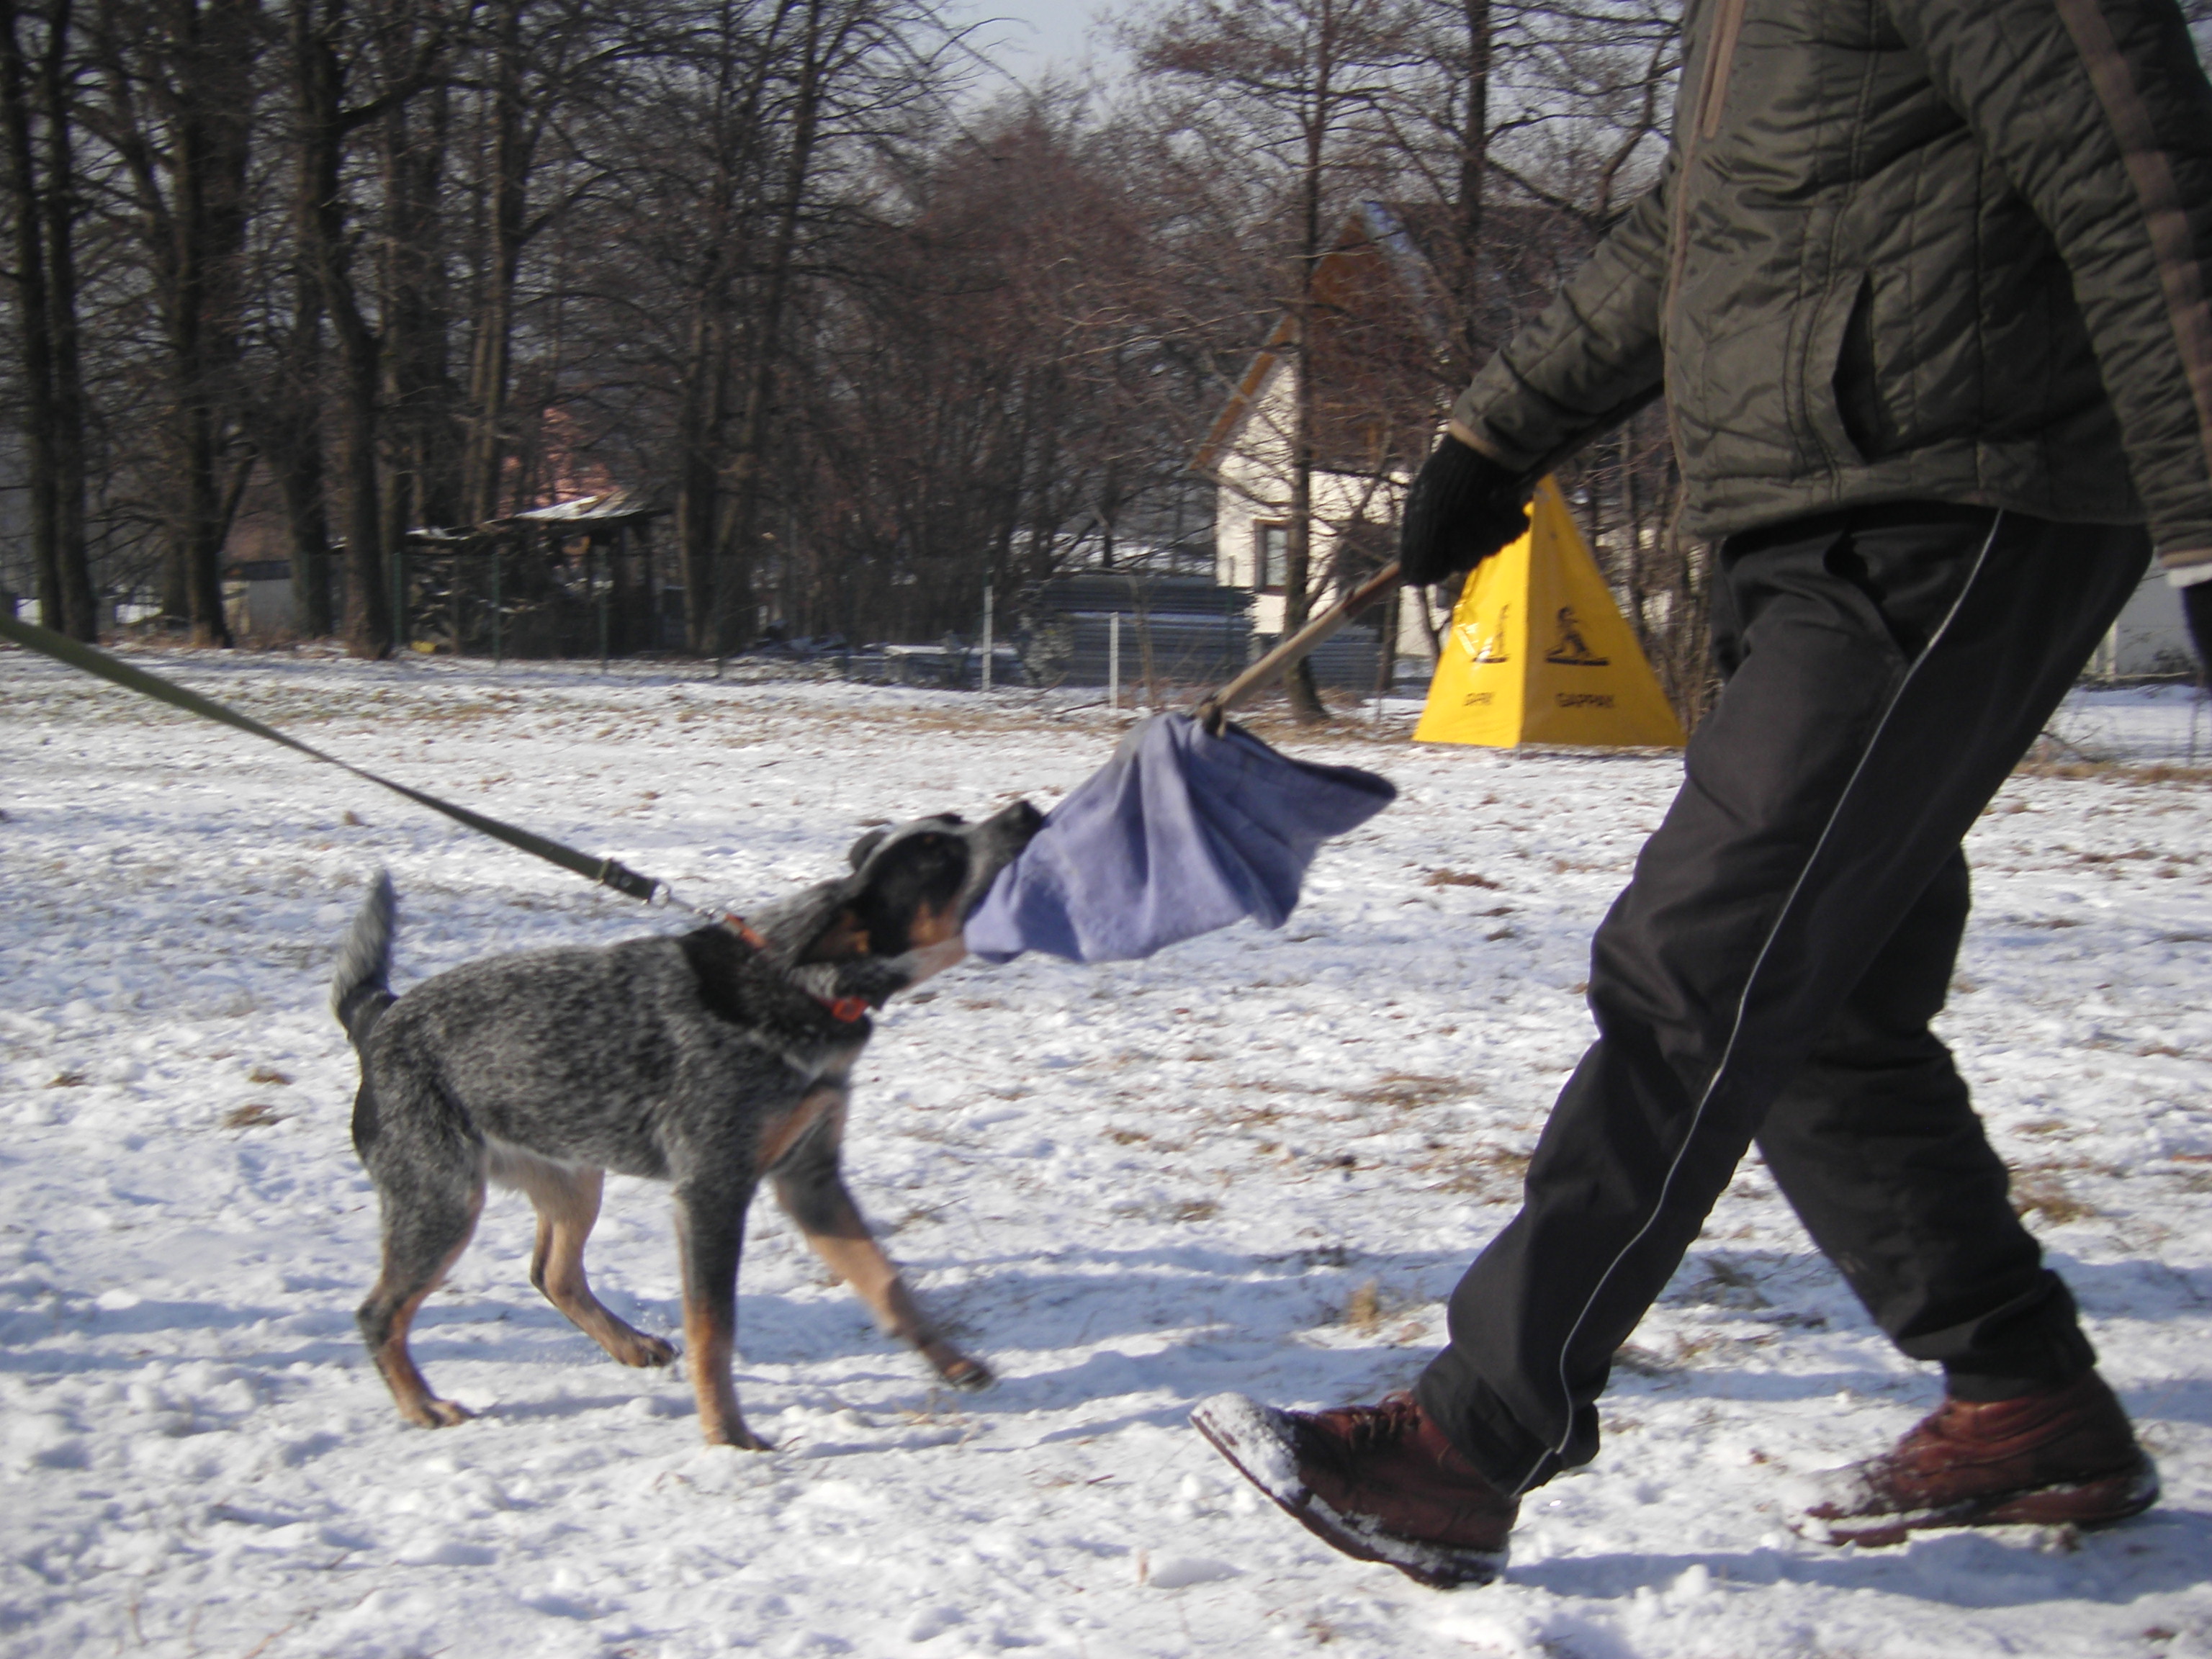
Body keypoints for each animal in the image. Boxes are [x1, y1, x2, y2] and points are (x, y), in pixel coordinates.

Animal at [327, 801, 1043, 1451]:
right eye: (938, 858)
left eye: (956, 822)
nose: (1025, 810)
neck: (802, 987)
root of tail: (378, 1019)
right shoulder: (713, 1190)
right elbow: (714, 1326)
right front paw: (727, 1434)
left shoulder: (810, 1179)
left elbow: (888, 1282)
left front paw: (951, 1361)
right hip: (442, 1201)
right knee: (379, 1312)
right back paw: (421, 1404)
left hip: (573, 1173)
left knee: (554, 1274)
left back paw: (627, 1343)